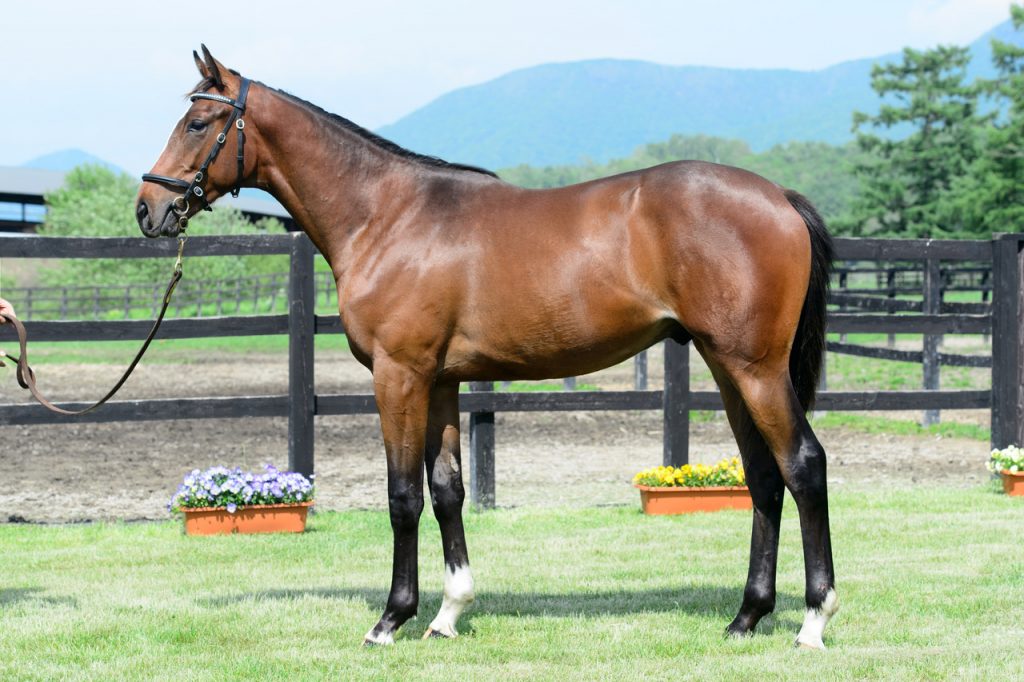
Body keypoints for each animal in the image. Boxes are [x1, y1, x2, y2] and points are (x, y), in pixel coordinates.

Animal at [137, 46, 838, 649]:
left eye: (198, 122)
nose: (149, 208)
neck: (386, 215)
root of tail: (778, 197)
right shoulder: (441, 381)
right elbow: (448, 491)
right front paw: (448, 613)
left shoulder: (399, 376)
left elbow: (402, 496)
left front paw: (390, 619)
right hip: (726, 367)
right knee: (764, 477)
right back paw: (746, 616)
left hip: (755, 369)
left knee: (803, 465)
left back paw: (813, 620)